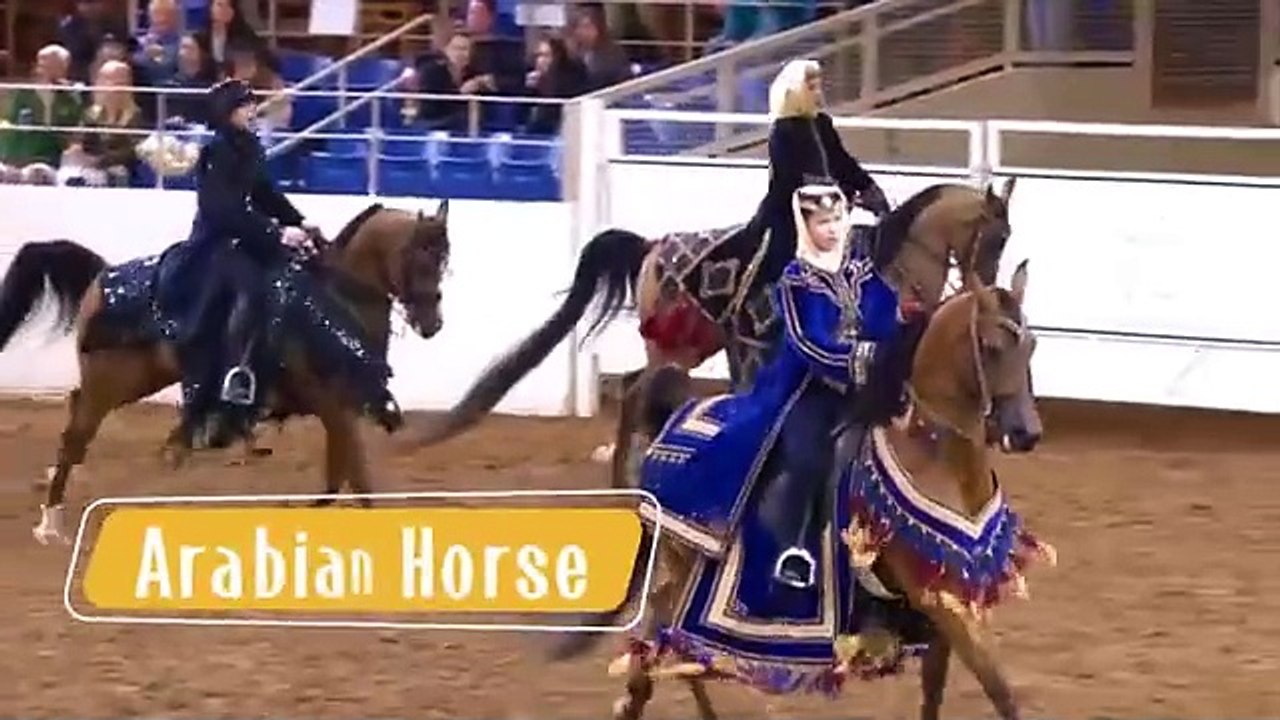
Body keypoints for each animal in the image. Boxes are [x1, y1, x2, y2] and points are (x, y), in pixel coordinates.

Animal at [0, 202, 451, 545]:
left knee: (76, 415)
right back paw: (50, 524)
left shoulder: (342, 410)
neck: (332, 305)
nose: (432, 324)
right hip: (111, 381)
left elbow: (337, 476)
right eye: (417, 258)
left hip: (138, 379)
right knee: (76, 436)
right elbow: (356, 476)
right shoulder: (334, 407)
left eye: (444, 261)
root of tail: (101, 278)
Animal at [396, 179, 1018, 487]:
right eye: (995, 237)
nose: (988, 287)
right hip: (678, 344)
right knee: (637, 391)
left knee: (634, 387)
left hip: (693, 346)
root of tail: (652, 246)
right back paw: (626, 479)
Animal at [552, 259, 1054, 720]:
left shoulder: (954, 595)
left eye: (1031, 344)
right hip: (675, 570)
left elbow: (938, 689)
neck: (934, 460)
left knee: (674, 653)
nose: (1025, 432)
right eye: (991, 346)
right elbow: (1000, 691)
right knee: (651, 659)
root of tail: (672, 418)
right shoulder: (941, 600)